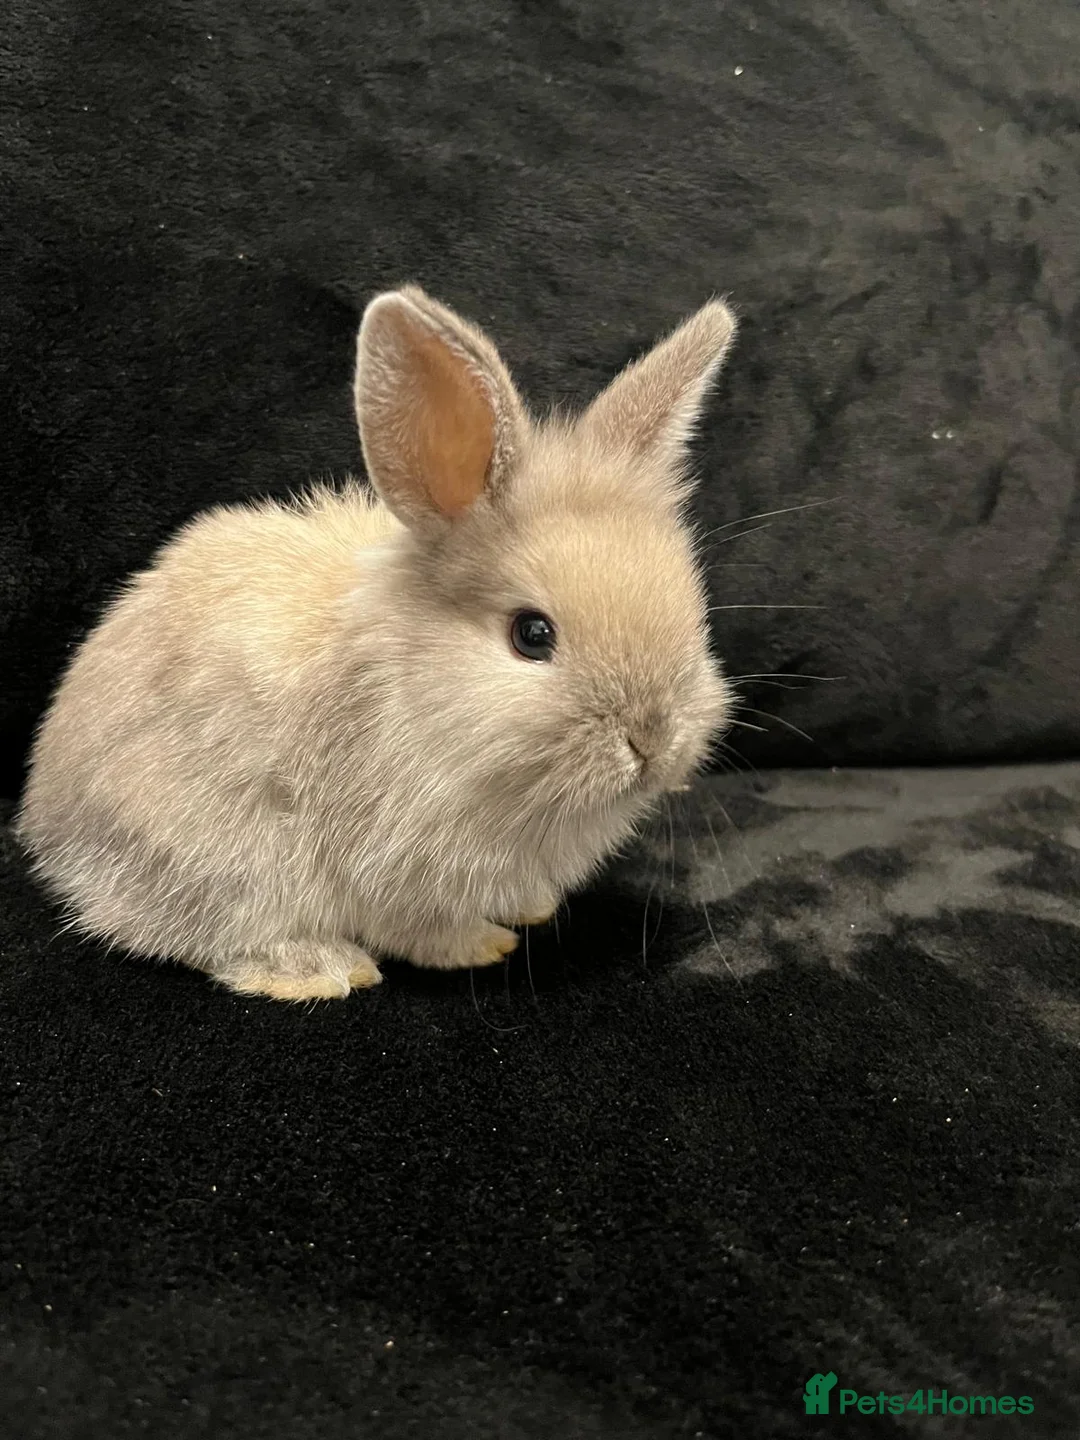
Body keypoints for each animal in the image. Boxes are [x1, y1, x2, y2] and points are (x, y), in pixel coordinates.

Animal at [17, 286, 738, 1001]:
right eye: (532, 635)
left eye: (691, 614)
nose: (652, 738)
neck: (418, 696)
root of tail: (49, 826)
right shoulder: (391, 861)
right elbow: (421, 930)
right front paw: (483, 946)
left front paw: (531, 909)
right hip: (221, 861)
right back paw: (320, 969)